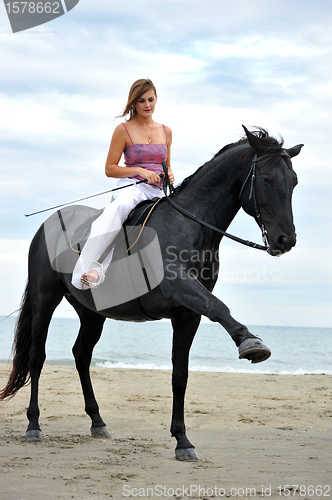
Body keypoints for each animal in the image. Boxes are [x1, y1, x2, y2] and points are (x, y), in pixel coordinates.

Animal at [0, 126, 302, 460]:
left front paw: (183, 441)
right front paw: (250, 342)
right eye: (267, 179)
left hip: (91, 313)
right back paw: (34, 425)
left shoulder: (187, 314)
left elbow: (180, 375)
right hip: (45, 299)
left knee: (81, 355)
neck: (188, 225)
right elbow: (219, 307)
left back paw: (97, 421)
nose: (286, 240)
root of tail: (47, 226)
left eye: (294, 181)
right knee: (37, 357)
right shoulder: (181, 289)